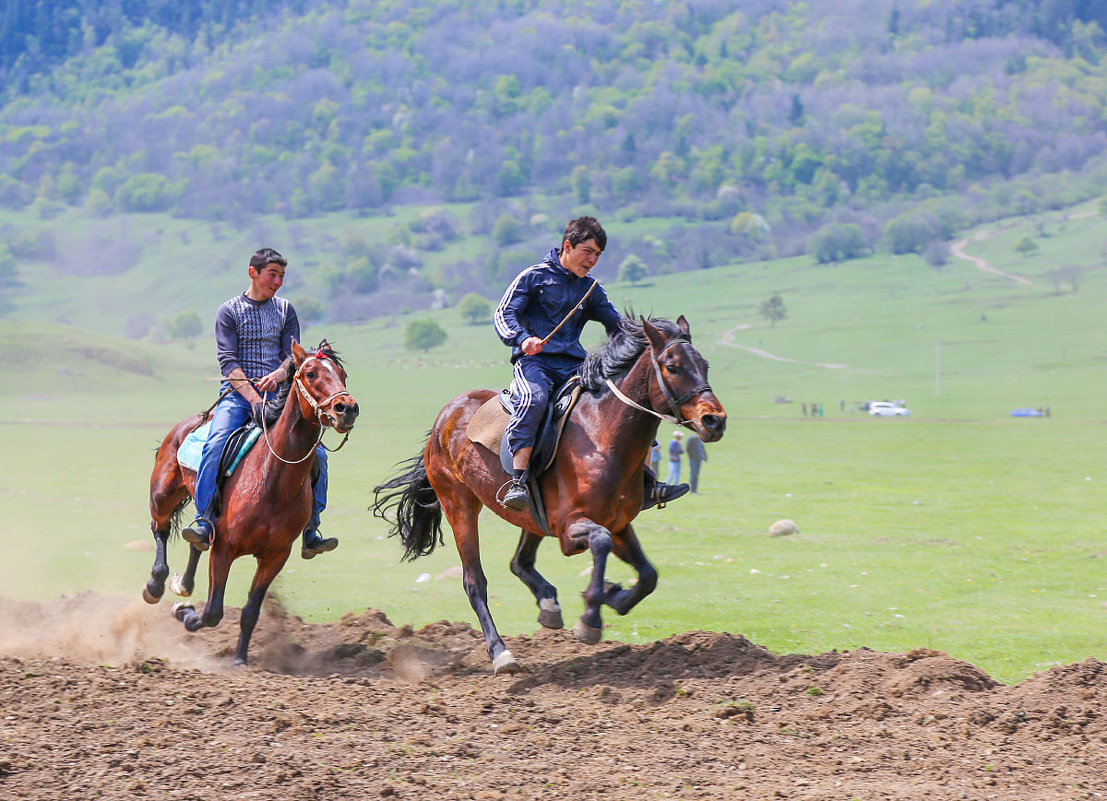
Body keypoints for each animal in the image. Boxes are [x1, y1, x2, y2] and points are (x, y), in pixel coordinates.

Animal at [141, 340, 358, 668]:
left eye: (342, 374)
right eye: (310, 373)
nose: (347, 408)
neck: (273, 479)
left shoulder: (276, 556)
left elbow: (250, 611)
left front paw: (240, 659)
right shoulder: (225, 548)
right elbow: (213, 611)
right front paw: (184, 613)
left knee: (197, 536)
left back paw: (184, 585)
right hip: (163, 495)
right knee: (162, 530)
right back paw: (155, 585)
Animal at [374, 316, 726, 672]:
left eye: (705, 365)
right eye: (673, 366)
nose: (714, 420)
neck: (603, 436)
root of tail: (445, 417)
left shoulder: (618, 524)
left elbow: (648, 575)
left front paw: (614, 596)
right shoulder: (571, 528)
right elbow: (601, 543)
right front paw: (590, 618)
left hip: (531, 516)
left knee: (520, 562)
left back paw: (548, 603)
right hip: (458, 505)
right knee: (475, 582)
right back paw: (501, 652)